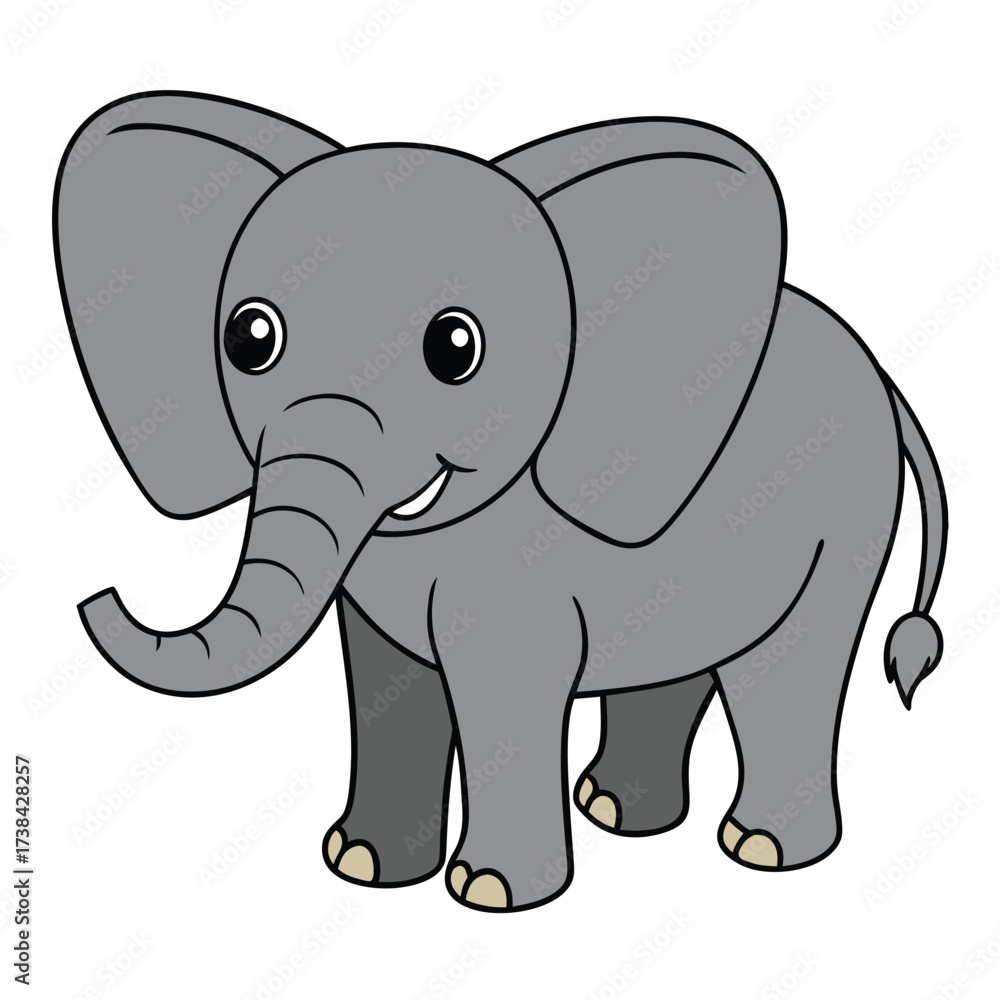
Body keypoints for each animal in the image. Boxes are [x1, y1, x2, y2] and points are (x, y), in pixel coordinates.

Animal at [55, 92, 948, 912]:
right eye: (248, 339)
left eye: (456, 348)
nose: (98, 595)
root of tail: (882, 374)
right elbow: (388, 684)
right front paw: (363, 867)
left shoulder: (519, 572)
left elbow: (503, 687)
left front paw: (488, 893)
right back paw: (617, 811)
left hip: (850, 512)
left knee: (794, 660)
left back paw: (761, 849)